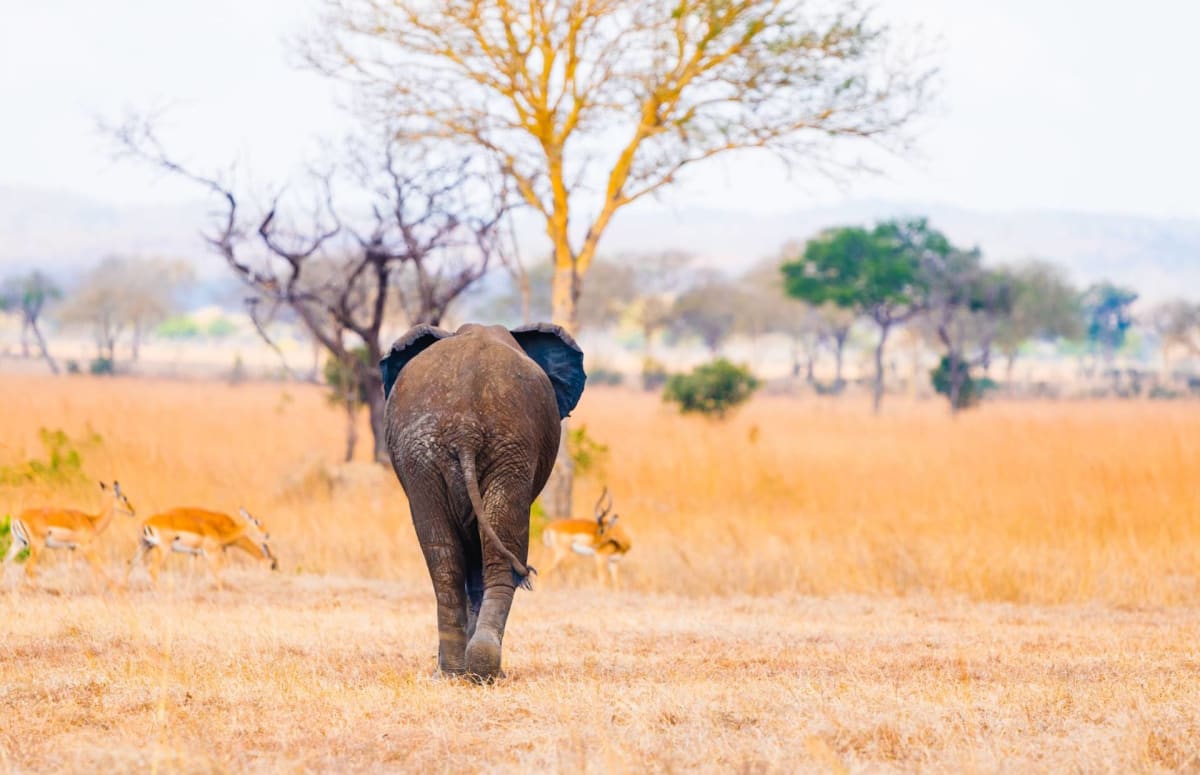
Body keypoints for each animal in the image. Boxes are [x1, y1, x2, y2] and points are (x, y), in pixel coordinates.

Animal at [2, 479, 136, 590]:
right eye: (124, 498)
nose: (133, 511)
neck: (91, 521)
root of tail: (18, 517)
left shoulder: (71, 548)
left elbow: (71, 569)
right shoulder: (85, 547)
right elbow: (97, 564)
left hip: (19, 544)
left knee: (5, 563)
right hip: (37, 546)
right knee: (28, 567)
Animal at [129, 506, 278, 585]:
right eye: (273, 565)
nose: (267, 534)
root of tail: (146, 523)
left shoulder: (194, 553)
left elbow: (191, 572)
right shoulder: (216, 551)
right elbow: (218, 571)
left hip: (145, 546)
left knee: (130, 563)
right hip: (162, 549)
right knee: (153, 569)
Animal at [379, 321, 585, 681]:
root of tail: (466, 429)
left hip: (432, 457)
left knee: (444, 558)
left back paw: (453, 672)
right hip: (502, 451)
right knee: (497, 554)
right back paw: (483, 670)